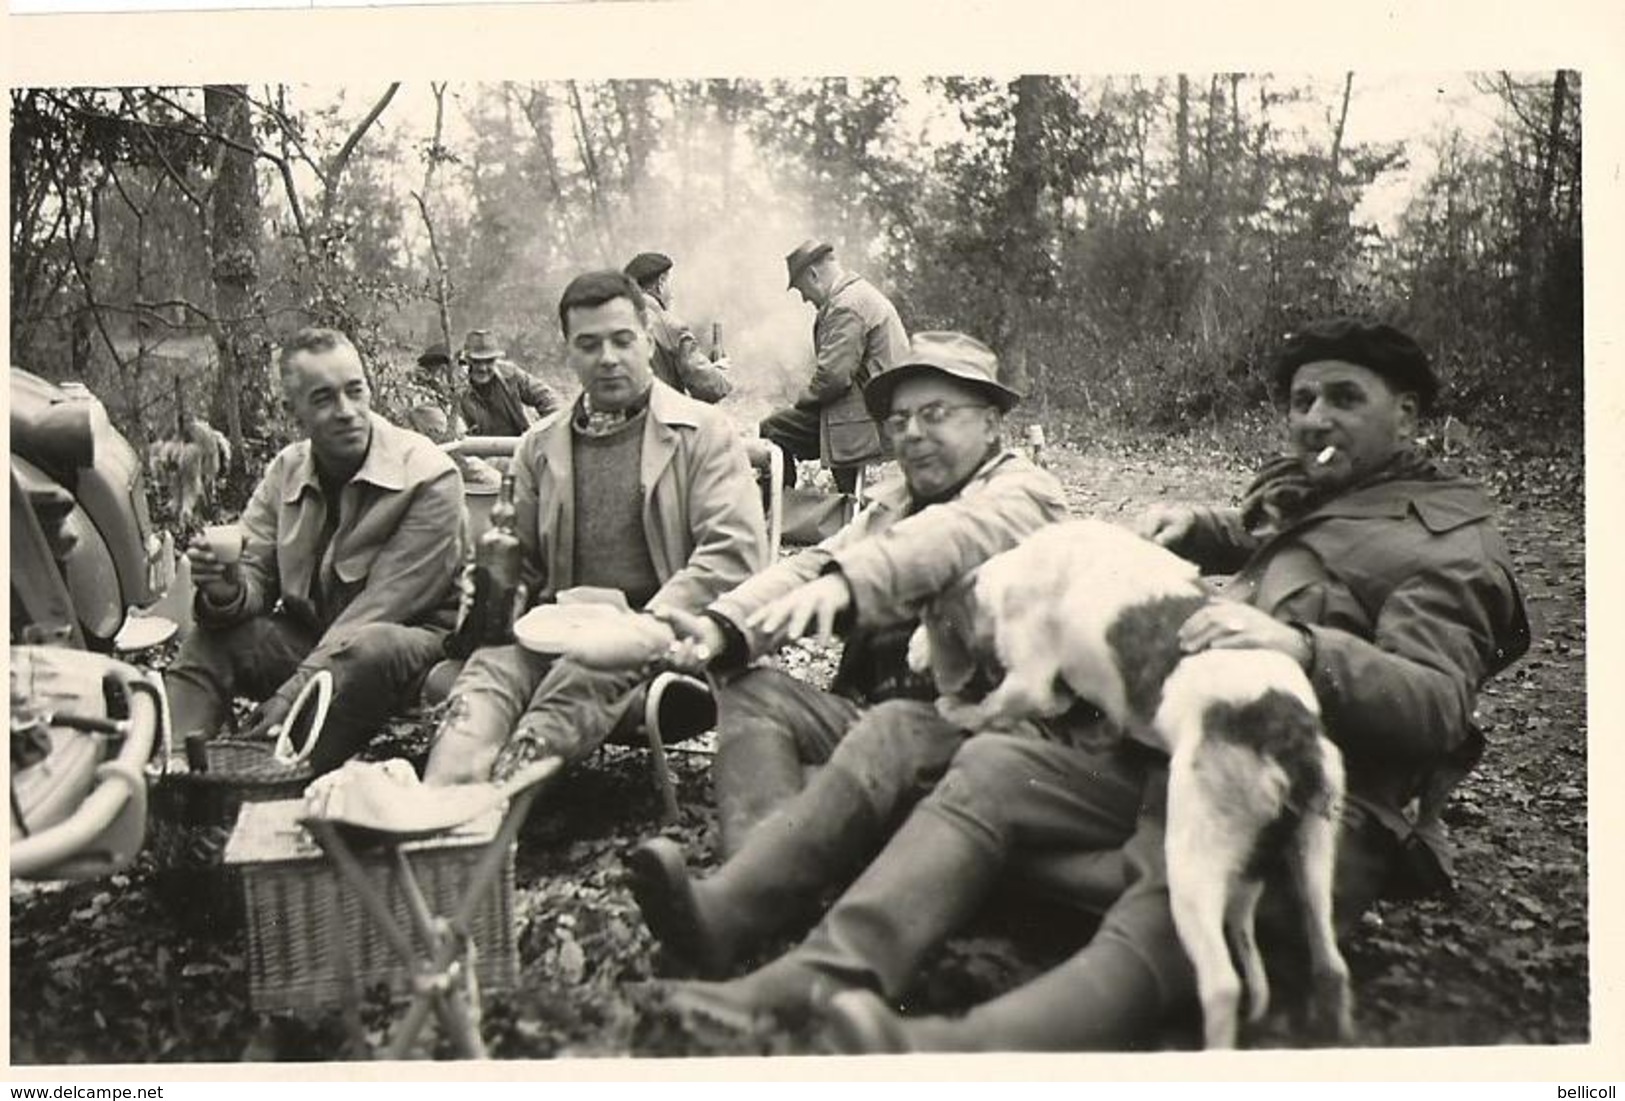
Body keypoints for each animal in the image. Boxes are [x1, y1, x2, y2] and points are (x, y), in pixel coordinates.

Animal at [916, 519, 1358, 1052]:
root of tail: (1289, 739)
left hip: (1192, 867)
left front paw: (954, 709)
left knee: (1222, 985)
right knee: (1330, 967)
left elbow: (994, 706)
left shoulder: (1028, 679)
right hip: (1311, 856)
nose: (913, 658)